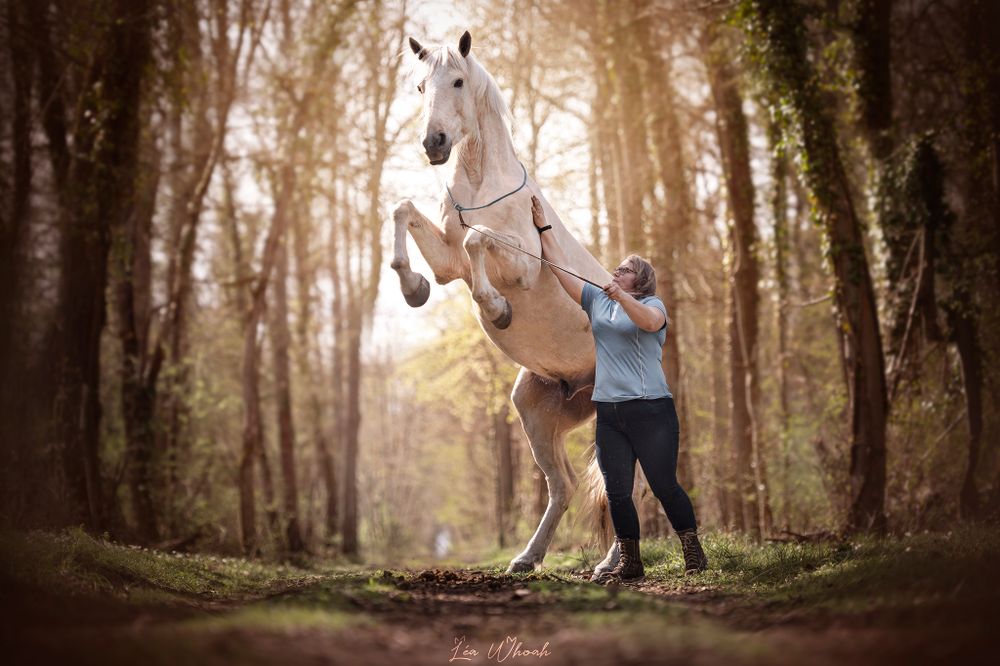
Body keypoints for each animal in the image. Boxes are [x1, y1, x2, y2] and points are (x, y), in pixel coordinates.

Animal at [390, 30, 625, 577]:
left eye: (457, 80)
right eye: (419, 85)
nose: (433, 143)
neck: (482, 186)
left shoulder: (521, 264)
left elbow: (479, 238)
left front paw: (497, 309)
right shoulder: (448, 261)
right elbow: (404, 211)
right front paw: (413, 288)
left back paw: (609, 565)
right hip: (537, 413)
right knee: (564, 487)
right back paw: (527, 558)